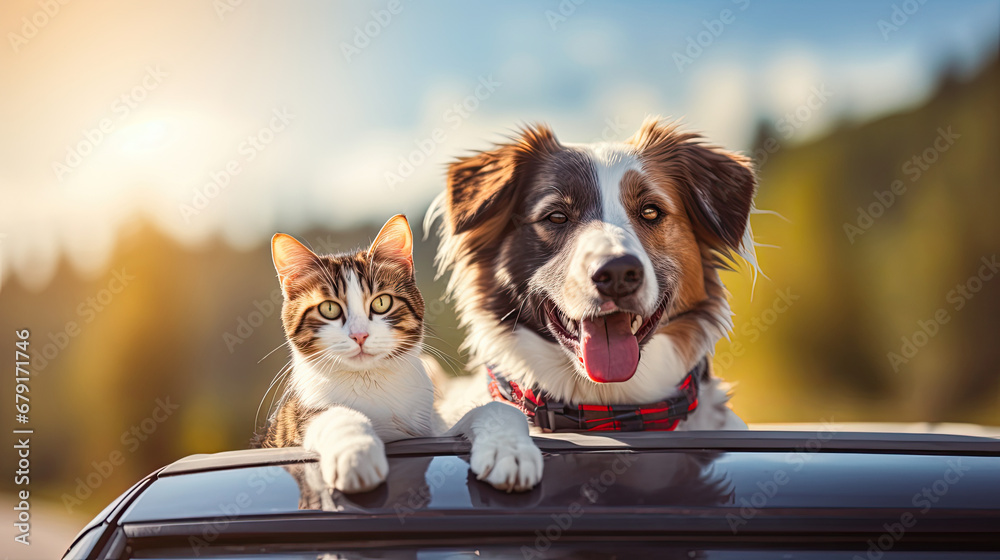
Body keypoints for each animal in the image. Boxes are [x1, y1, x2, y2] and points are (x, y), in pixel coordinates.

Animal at [254, 214, 544, 494]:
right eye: (329, 309)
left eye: (382, 302)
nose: (359, 335)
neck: (371, 380)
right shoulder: (294, 422)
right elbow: (335, 415)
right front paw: (356, 455)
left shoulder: (430, 431)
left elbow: (494, 409)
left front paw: (510, 452)